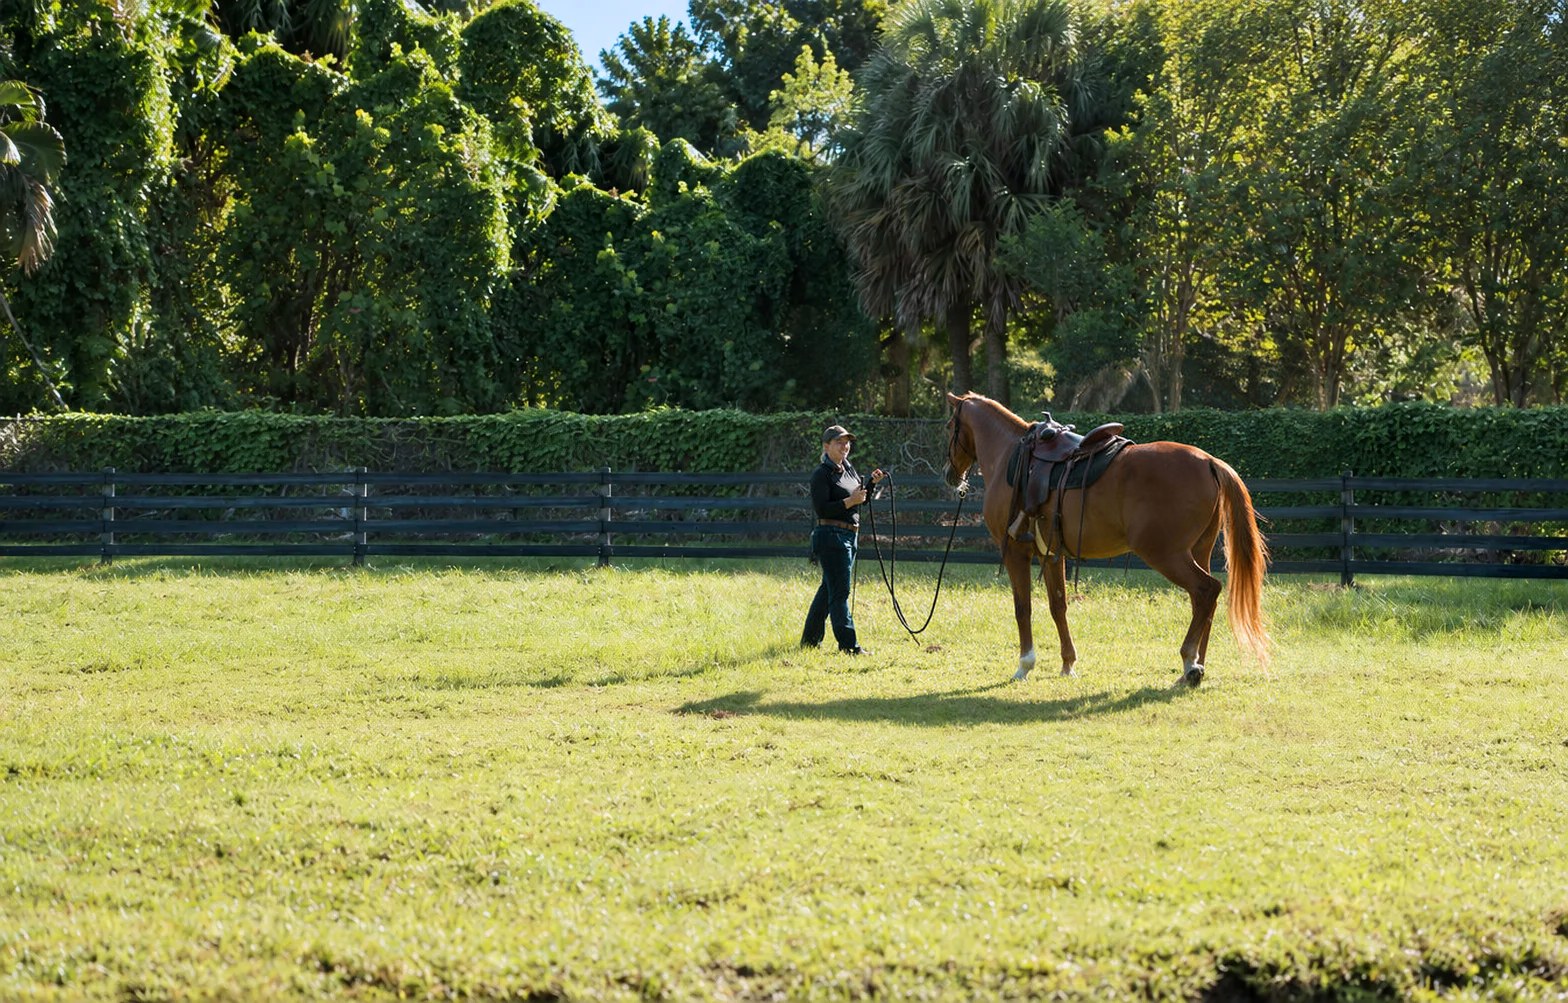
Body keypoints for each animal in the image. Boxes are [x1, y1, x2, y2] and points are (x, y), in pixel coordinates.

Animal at [943, 391, 1270, 686]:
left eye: (948, 426)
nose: (949, 474)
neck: (1012, 456)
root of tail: (1209, 461)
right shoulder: (1052, 555)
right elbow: (1058, 605)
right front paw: (1068, 664)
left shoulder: (1015, 553)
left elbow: (1023, 608)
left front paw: (1025, 665)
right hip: (1198, 551)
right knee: (1204, 601)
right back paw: (1197, 665)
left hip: (1167, 555)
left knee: (1206, 590)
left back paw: (1190, 662)